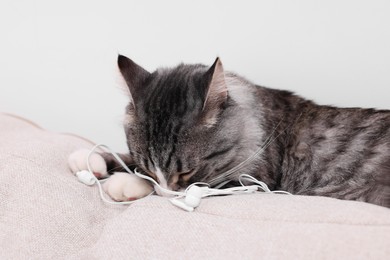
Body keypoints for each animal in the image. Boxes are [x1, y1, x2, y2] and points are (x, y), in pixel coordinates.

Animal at [68, 54, 390, 207]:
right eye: (148, 166)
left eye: (186, 172)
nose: (166, 193)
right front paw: (89, 159)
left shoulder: (254, 182)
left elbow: (195, 188)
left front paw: (127, 183)